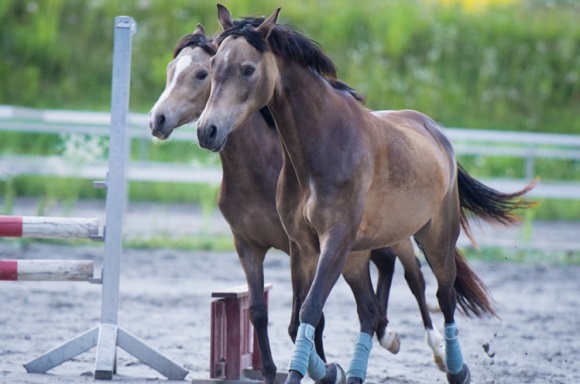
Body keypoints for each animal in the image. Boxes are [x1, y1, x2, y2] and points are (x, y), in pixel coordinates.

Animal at [152, 21, 446, 384]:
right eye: (171, 70)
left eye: (200, 73)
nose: (157, 119)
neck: (258, 168)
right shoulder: (248, 245)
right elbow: (260, 313)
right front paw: (270, 371)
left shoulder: (303, 247)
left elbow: (310, 318)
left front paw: (326, 369)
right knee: (386, 268)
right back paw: (384, 330)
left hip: (401, 232)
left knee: (413, 274)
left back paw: (430, 347)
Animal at [197, 6, 536, 384]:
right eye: (212, 66)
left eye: (248, 69)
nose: (207, 131)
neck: (322, 147)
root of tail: (437, 134)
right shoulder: (303, 247)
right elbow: (301, 318)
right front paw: (331, 370)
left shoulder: (335, 242)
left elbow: (310, 310)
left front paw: (319, 370)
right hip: (359, 257)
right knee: (369, 311)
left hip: (435, 240)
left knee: (442, 295)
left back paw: (455, 367)